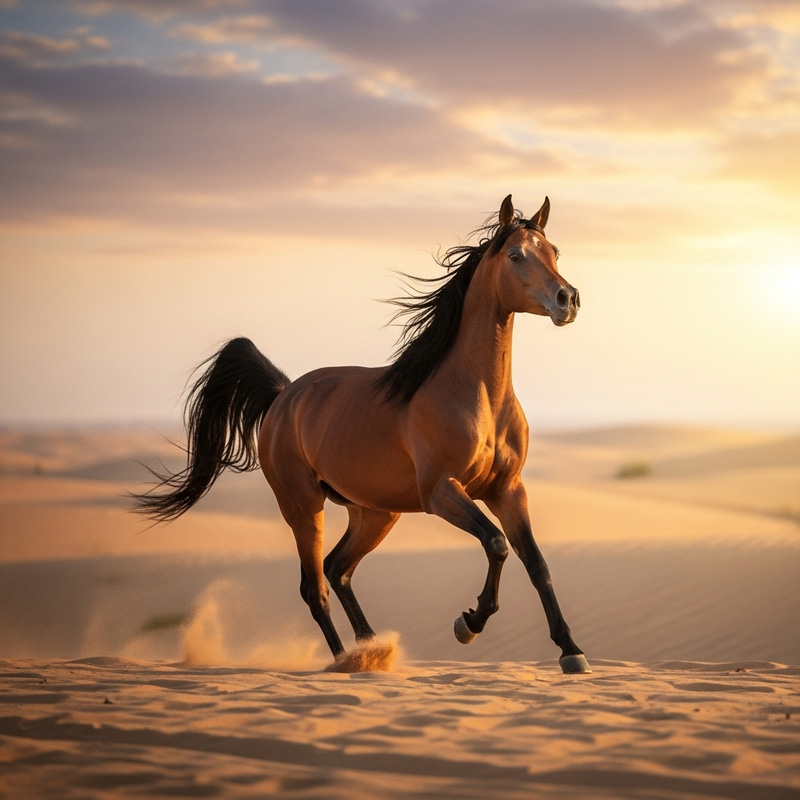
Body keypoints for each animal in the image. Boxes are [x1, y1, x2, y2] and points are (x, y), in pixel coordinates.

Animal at [134, 195, 591, 674]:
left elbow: (536, 563)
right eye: (516, 255)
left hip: (375, 513)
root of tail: (282, 396)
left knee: (338, 568)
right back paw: (346, 660)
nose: (568, 299)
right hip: (302, 506)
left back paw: (370, 649)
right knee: (314, 587)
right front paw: (469, 622)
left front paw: (571, 650)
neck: (477, 394)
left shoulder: (508, 490)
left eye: (554, 251)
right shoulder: (442, 492)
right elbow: (496, 543)